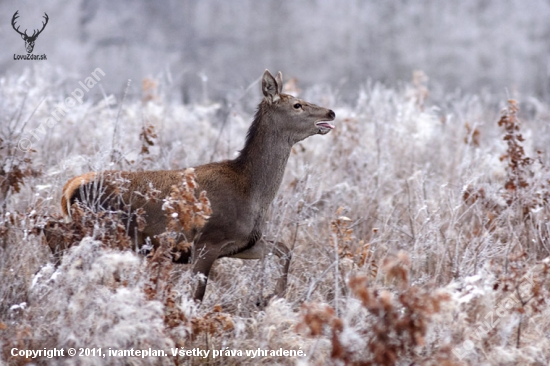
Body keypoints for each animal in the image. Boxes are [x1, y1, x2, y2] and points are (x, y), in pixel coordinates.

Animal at [59, 70, 336, 302]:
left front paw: (269, 297)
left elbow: (285, 249)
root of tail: (68, 189)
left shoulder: (242, 243)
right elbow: (197, 295)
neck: (252, 193)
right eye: (297, 105)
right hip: (99, 230)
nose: (330, 113)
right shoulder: (207, 240)